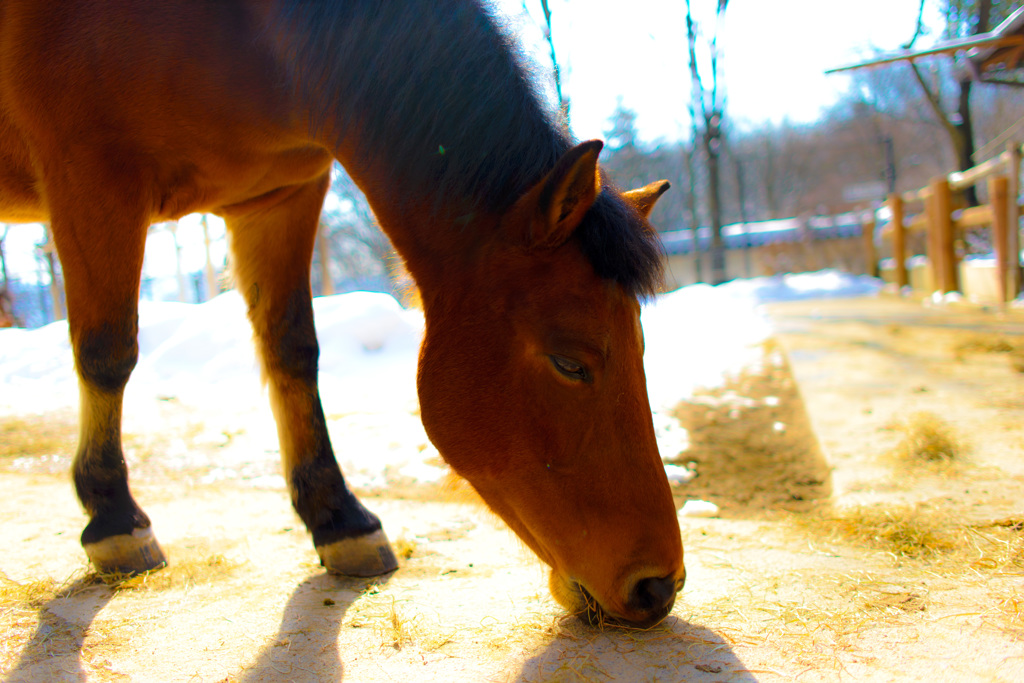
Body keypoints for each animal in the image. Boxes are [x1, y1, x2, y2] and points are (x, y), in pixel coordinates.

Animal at [2, 1, 688, 630]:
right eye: (569, 363)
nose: (660, 586)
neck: (239, 35)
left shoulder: (276, 198)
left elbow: (292, 353)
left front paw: (338, 519)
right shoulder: (91, 184)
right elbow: (108, 351)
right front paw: (114, 518)